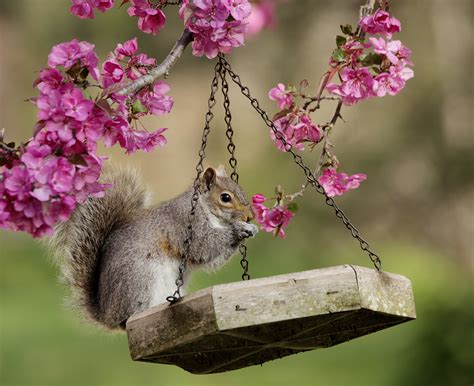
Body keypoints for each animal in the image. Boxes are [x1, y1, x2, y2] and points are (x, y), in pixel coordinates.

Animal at [50, 164, 258, 330]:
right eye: (225, 197)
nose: (250, 217)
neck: (204, 207)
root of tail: (107, 315)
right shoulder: (186, 225)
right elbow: (204, 246)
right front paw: (239, 229)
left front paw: (251, 230)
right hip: (140, 278)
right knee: (129, 317)